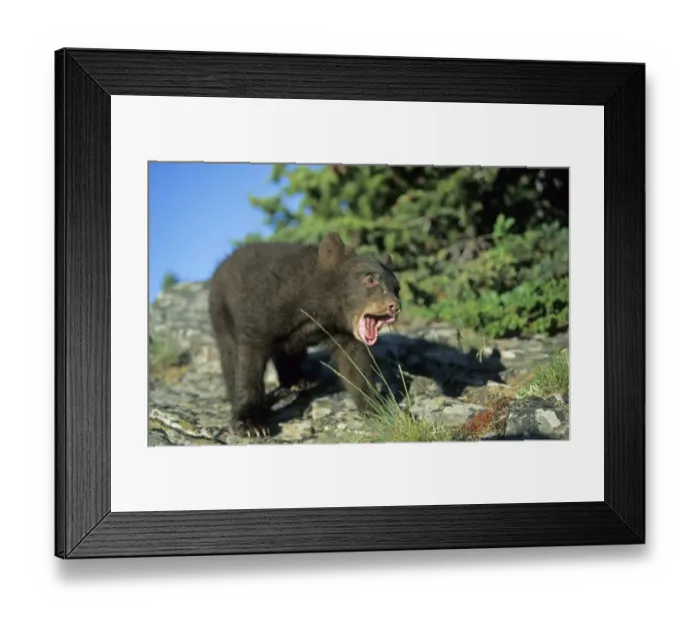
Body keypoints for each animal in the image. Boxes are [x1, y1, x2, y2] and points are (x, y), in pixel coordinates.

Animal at [208, 232, 402, 437]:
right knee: (230, 354)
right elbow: (249, 360)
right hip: (222, 312)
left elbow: (355, 364)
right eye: (370, 279)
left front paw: (377, 408)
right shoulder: (265, 308)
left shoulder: (342, 331)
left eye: (397, 288)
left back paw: (297, 381)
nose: (394, 306)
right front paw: (251, 423)